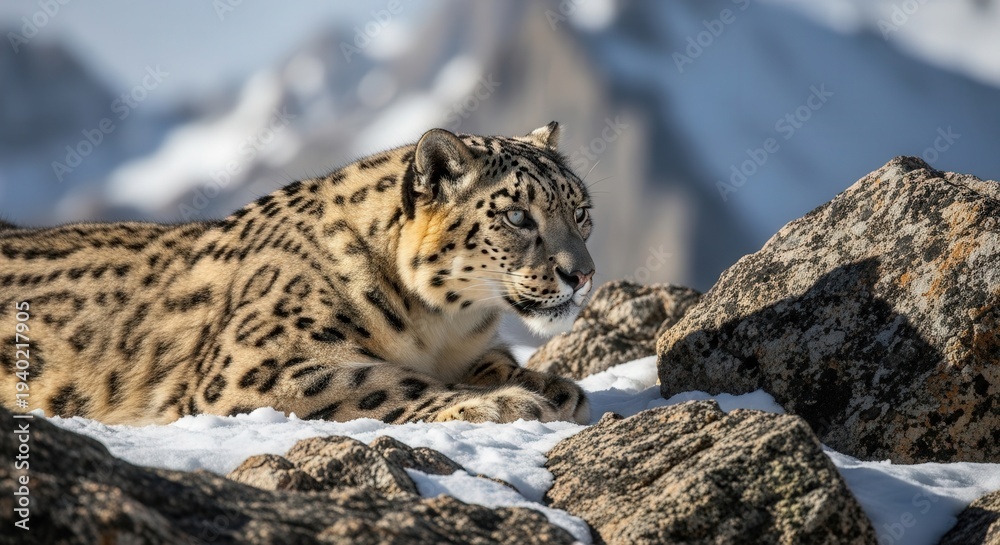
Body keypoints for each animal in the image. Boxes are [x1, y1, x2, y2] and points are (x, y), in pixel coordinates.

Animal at [0, 123, 596, 426]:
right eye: (517, 216)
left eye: (582, 211)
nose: (583, 275)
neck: (442, 328)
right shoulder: (255, 366)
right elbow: (380, 380)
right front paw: (507, 402)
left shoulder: (473, 348)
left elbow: (496, 361)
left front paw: (552, 385)